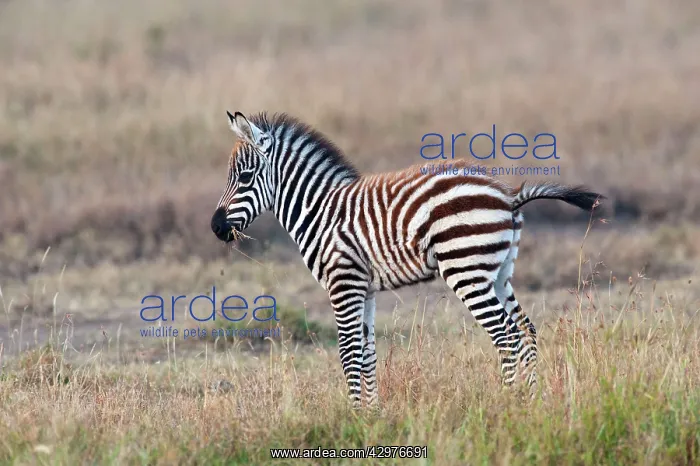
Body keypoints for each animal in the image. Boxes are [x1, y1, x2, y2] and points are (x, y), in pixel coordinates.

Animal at [211, 111, 604, 409]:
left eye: (244, 177)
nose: (215, 227)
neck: (320, 210)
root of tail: (508, 196)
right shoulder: (364, 289)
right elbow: (366, 353)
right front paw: (373, 415)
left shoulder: (344, 283)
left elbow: (348, 353)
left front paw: (355, 417)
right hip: (499, 272)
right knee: (526, 330)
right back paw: (530, 403)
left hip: (466, 270)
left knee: (506, 337)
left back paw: (508, 404)